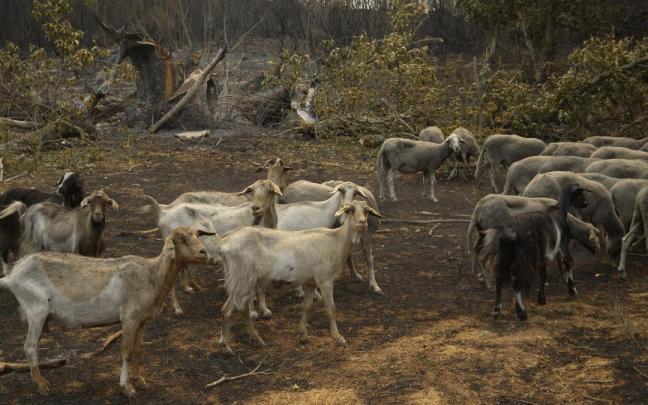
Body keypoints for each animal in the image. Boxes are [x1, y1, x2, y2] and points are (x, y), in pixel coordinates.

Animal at [0, 226, 212, 397]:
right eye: (181, 239)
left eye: (197, 235)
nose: (204, 252)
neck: (151, 276)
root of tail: (12, 276)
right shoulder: (129, 318)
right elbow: (126, 351)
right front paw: (126, 387)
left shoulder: (142, 320)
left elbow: (138, 349)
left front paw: (139, 380)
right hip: (36, 309)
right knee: (29, 347)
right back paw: (41, 385)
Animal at [213, 200, 381, 353]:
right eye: (351, 210)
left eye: (367, 211)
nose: (362, 222)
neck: (337, 241)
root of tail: (224, 243)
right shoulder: (325, 280)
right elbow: (331, 308)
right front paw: (338, 337)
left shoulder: (311, 282)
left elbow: (306, 306)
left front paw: (303, 335)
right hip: (242, 278)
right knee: (229, 309)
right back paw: (228, 347)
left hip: (240, 279)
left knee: (239, 309)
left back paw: (252, 340)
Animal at [466, 194, 599, 290]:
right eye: (594, 238)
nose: (598, 250)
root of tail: (479, 207)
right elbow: (558, 257)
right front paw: (563, 276)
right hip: (494, 236)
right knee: (483, 257)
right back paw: (490, 283)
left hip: (482, 233)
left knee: (476, 251)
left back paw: (479, 276)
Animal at [477, 185, 589, 320]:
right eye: (580, 195)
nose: (586, 203)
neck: (559, 212)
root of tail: (509, 231)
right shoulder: (562, 247)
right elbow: (568, 265)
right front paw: (572, 290)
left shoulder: (541, 254)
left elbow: (543, 273)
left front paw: (541, 298)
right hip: (523, 256)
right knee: (517, 280)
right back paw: (521, 313)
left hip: (506, 254)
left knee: (500, 277)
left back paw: (497, 310)